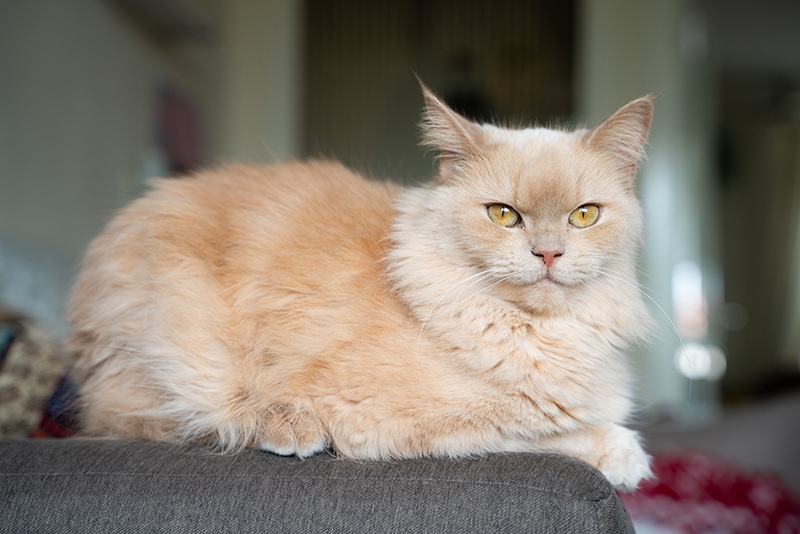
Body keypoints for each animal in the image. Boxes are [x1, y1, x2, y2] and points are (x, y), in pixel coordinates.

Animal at [67, 85, 656, 494]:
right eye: (503, 215)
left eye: (584, 215)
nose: (549, 254)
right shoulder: (403, 424)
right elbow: (548, 432)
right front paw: (625, 458)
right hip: (187, 362)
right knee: (154, 419)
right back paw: (293, 431)